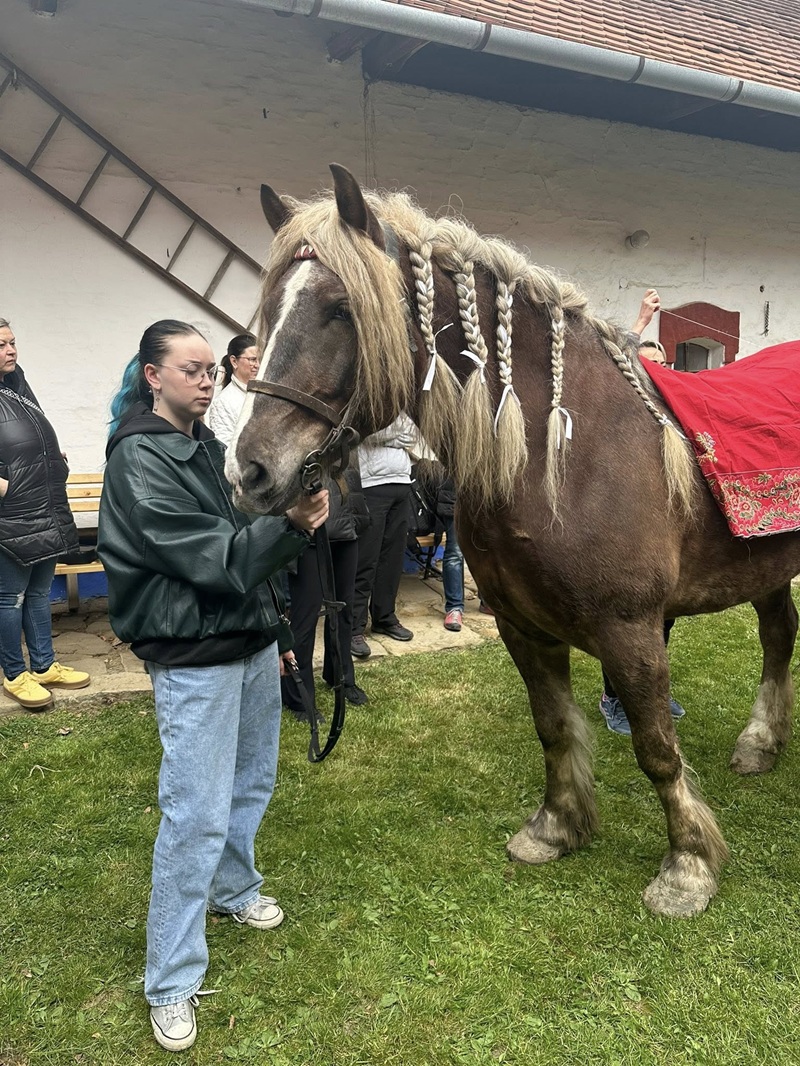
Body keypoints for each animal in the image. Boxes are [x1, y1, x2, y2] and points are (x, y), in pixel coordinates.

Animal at [225, 163, 800, 918]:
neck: (565, 454)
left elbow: (656, 747)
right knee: (779, 633)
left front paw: (687, 868)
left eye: (339, 309)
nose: (252, 471)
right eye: (270, 311)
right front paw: (555, 828)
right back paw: (761, 743)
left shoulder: (632, 630)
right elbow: (553, 726)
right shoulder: (523, 626)